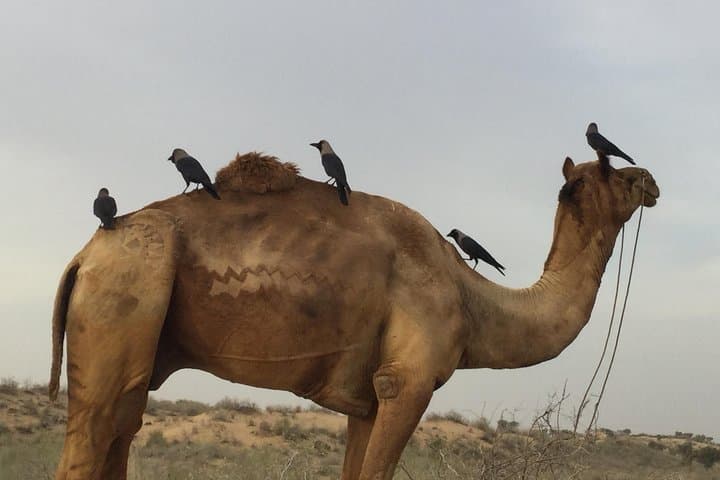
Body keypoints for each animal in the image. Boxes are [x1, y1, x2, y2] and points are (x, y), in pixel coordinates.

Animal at [49, 152, 659, 480]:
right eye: (613, 172)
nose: (651, 180)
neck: (472, 299)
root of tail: (84, 255)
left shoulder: (367, 397)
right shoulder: (408, 380)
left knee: (122, 426)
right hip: (127, 287)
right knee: (89, 438)